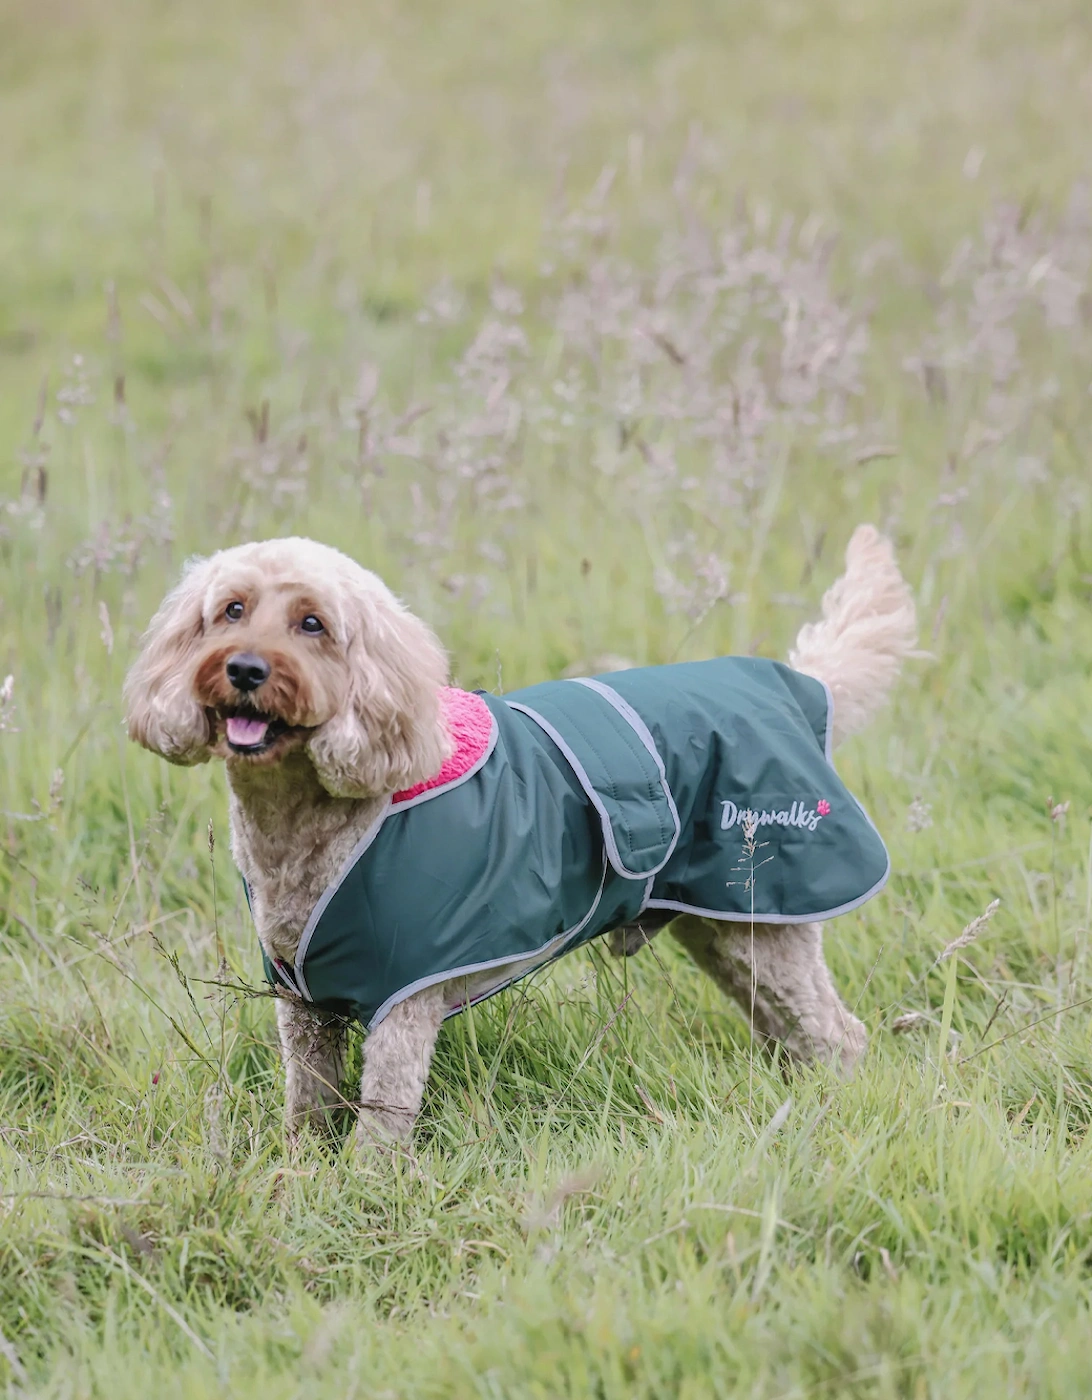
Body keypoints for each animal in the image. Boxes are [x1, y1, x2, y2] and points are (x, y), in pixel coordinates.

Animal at [123, 526, 918, 1148]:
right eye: (232, 610)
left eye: (312, 624)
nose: (244, 668)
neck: (312, 826)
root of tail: (801, 686)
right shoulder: (304, 1004)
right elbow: (308, 1107)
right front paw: (301, 1174)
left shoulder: (403, 1003)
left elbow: (380, 1123)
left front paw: (364, 1192)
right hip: (724, 928)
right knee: (785, 1026)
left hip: (766, 918)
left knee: (839, 1035)